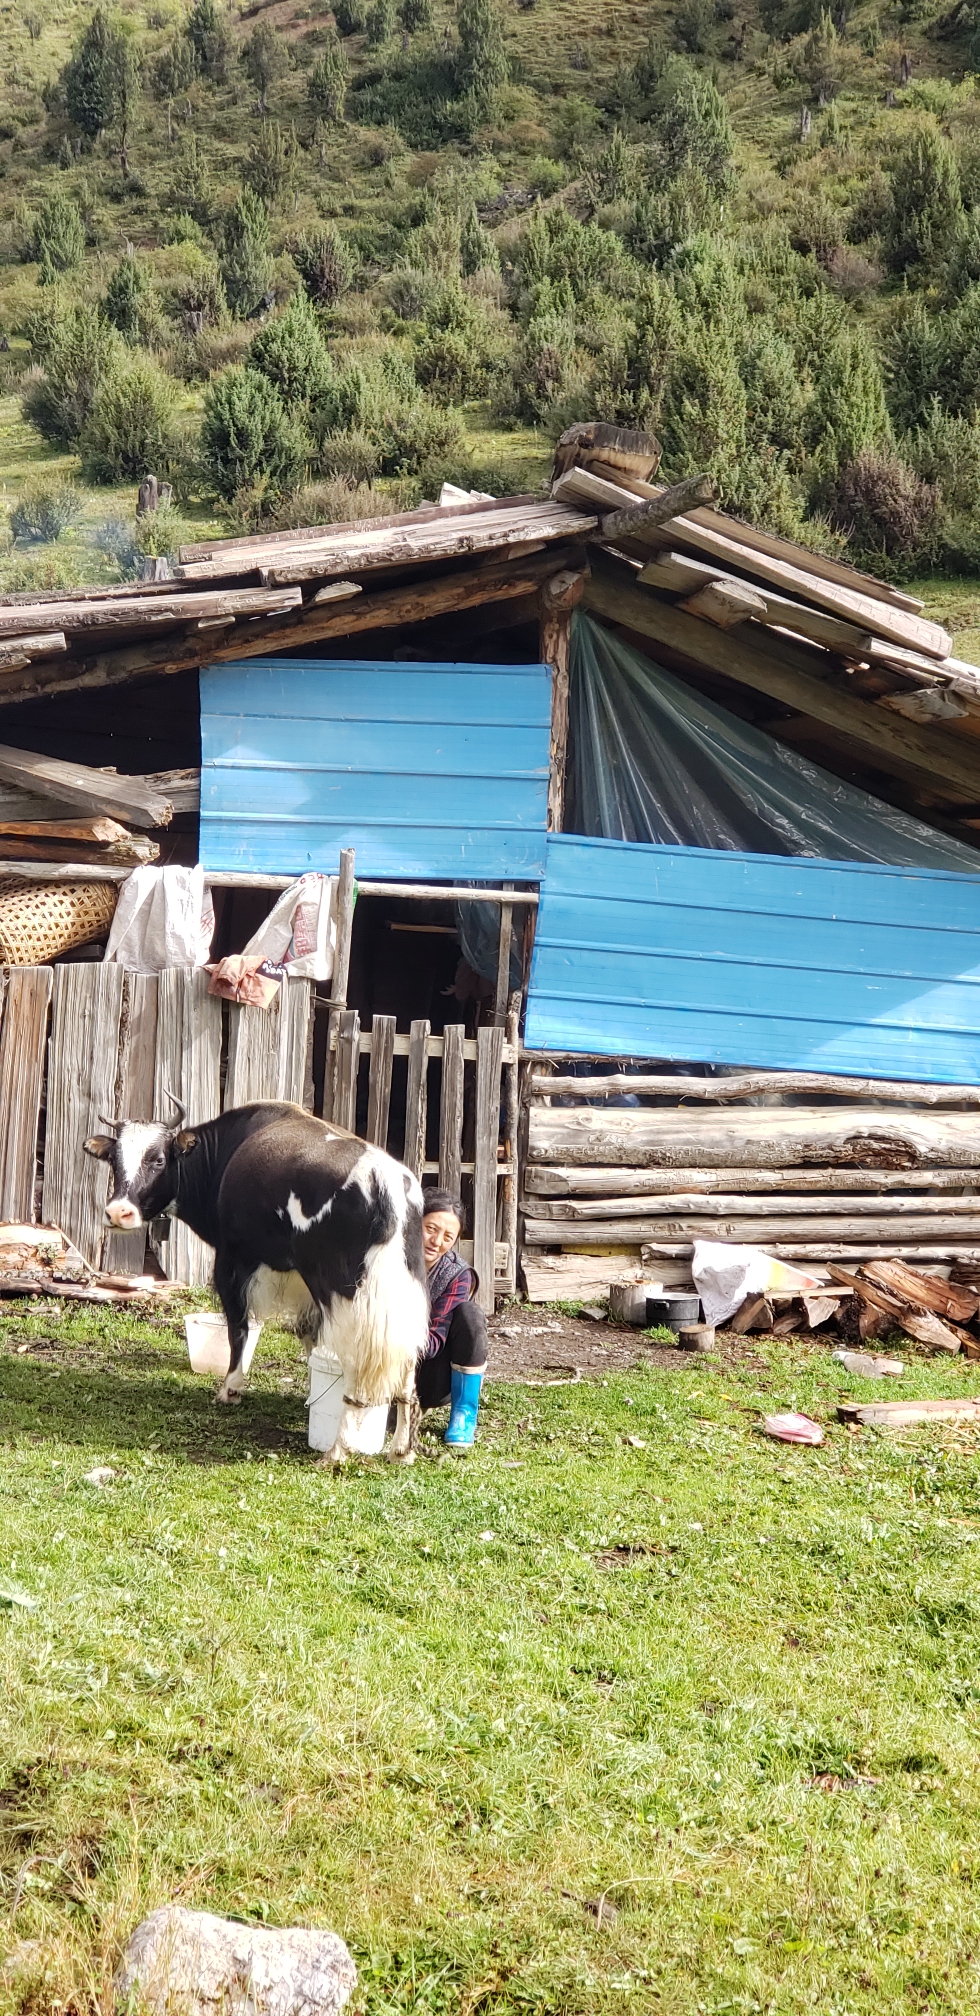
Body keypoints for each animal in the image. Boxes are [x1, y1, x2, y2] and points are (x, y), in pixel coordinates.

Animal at [86, 1104, 431, 1467]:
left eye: (159, 1160)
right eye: (114, 1160)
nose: (118, 1212)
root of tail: (384, 1181)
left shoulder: (232, 1260)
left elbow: (238, 1327)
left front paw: (230, 1388)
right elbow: (307, 1335)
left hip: (342, 1294)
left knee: (356, 1362)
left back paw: (337, 1450)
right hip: (402, 1295)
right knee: (408, 1362)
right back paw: (401, 1449)